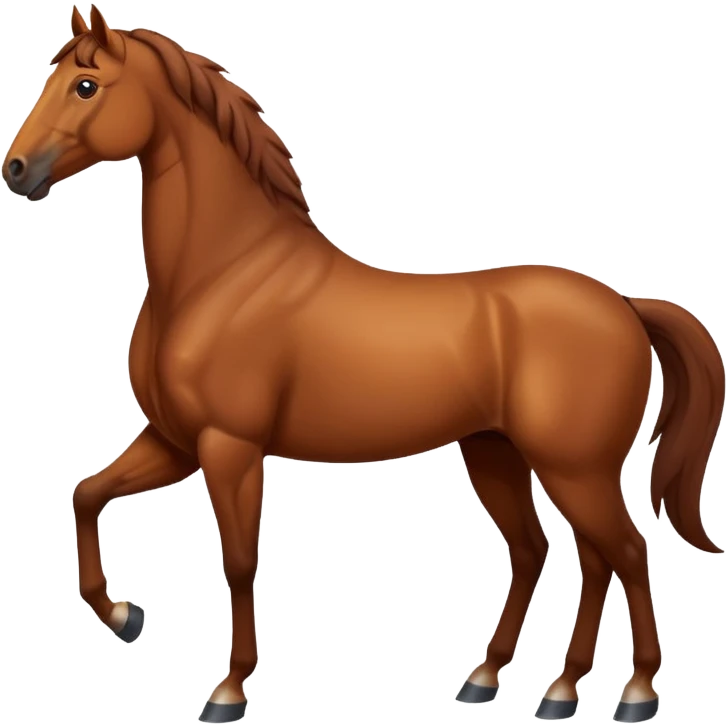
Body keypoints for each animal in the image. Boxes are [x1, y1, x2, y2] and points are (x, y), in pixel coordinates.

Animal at [4, 5, 723, 724]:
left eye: (86, 85)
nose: (16, 170)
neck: (222, 274)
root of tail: (624, 305)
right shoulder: (175, 441)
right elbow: (87, 494)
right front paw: (125, 616)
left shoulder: (229, 447)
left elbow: (237, 561)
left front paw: (228, 691)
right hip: (499, 454)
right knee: (549, 554)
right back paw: (522, 683)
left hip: (575, 468)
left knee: (623, 552)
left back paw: (631, 693)